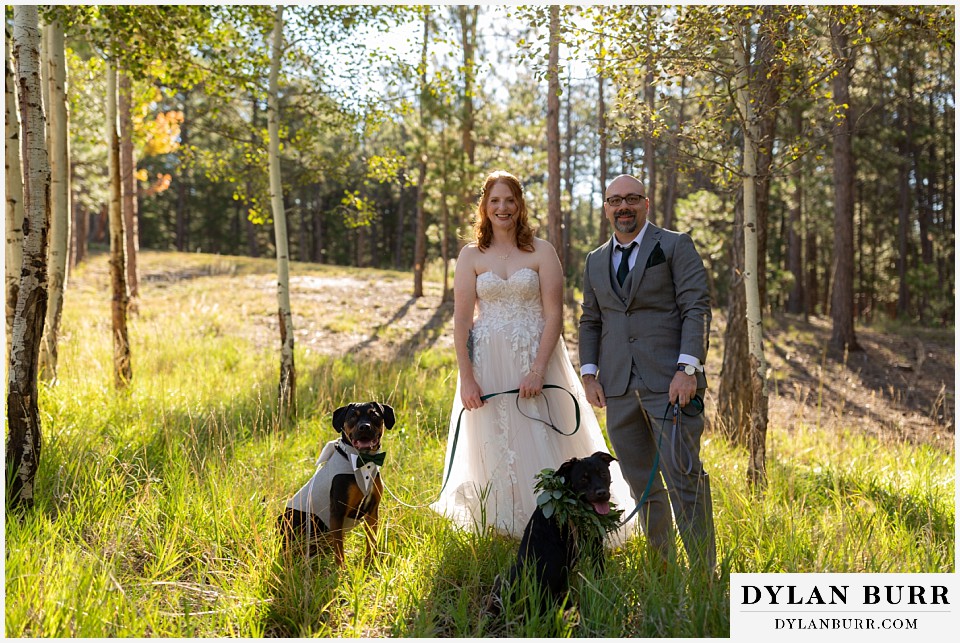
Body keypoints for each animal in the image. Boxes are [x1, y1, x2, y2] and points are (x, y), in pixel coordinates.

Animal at [278, 402, 398, 568]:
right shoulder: (337, 511)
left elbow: (371, 541)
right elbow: (339, 549)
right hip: (292, 519)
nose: (364, 427)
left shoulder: (372, 510)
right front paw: (341, 570)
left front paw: (371, 563)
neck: (362, 461)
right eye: (352, 416)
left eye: (374, 414)